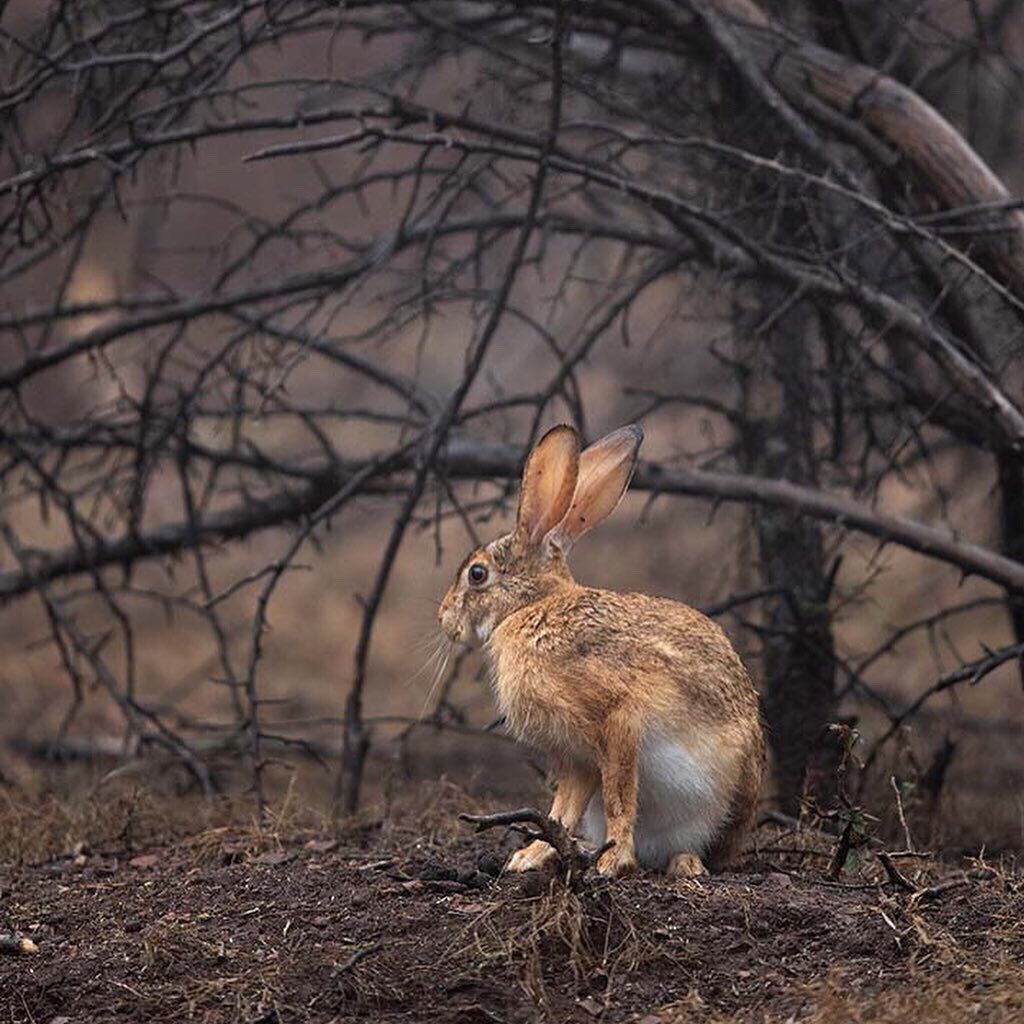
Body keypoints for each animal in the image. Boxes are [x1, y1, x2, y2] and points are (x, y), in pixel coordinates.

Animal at [438, 423, 765, 877]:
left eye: (477, 574)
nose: (443, 617)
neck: (531, 609)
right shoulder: (576, 757)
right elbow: (561, 810)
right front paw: (529, 857)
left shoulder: (619, 718)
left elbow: (618, 793)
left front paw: (613, 861)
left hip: (722, 794)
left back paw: (684, 864)